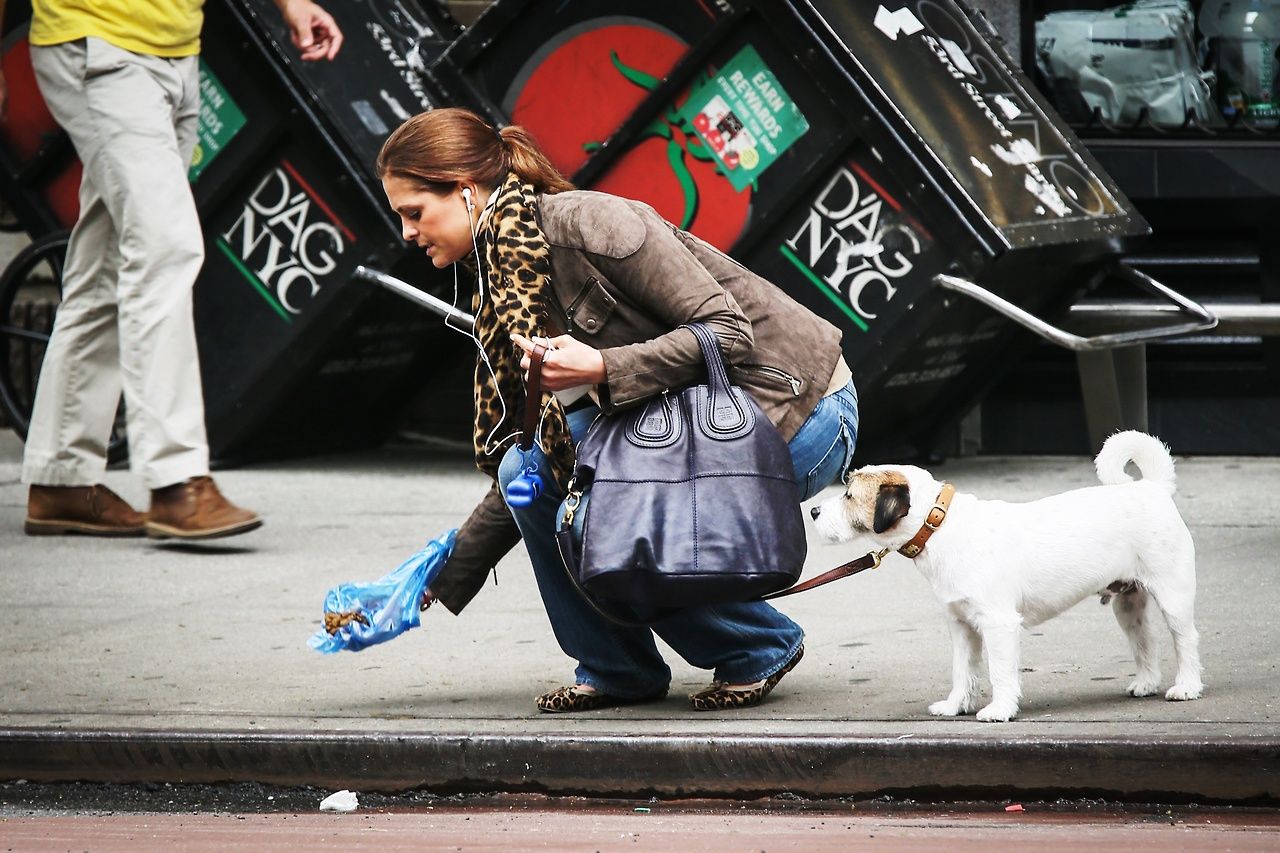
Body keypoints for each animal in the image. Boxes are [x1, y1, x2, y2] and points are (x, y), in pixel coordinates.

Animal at [814, 432, 1203, 717]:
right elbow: (963, 670)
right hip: (1128, 603)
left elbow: (999, 671)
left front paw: (999, 710)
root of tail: (1152, 487)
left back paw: (1186, 686)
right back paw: (1146, 683)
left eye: (849, 495)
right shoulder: (962, 626)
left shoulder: (998, 624)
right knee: (1144, 640)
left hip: (1173, 595)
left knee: (1185, 640)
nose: (814, 511)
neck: (941, 526)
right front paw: (956, 705)